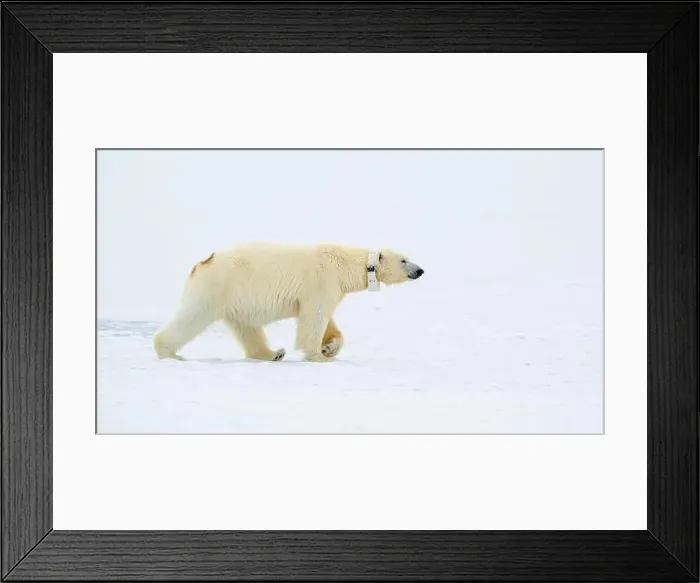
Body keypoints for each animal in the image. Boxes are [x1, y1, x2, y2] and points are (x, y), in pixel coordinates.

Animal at [153, 242, 424, 363]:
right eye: (404, 260)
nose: (420, 270)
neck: (343, 264)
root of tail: (202, 262)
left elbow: (325, 319)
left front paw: (330, 347)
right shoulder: (322, 280)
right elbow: (314, 317)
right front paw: (319, 355)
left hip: (235, 299)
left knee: (247, 329)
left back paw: (273, 353)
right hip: (218, 287)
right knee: (193, 316)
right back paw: (169, 352)